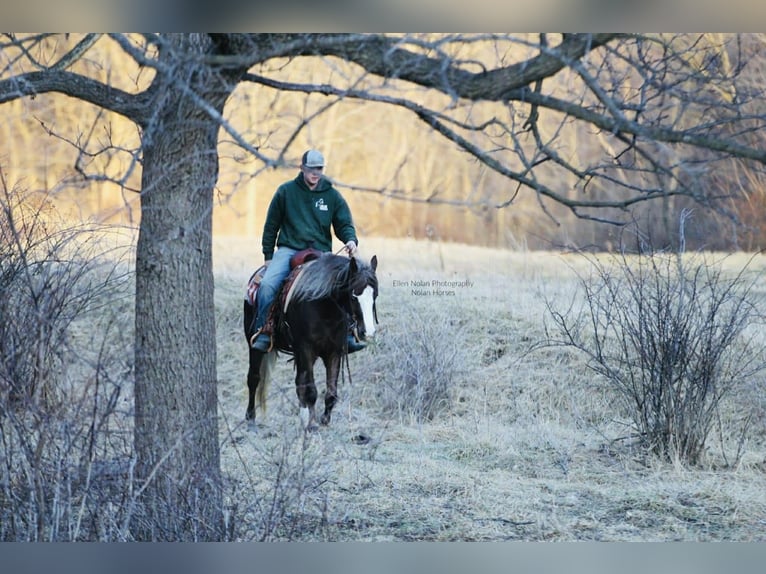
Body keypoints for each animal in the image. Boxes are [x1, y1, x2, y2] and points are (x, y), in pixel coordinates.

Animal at [243, 252, 379, 430]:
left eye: (375, 295)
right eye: (353, 296)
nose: (368, 332)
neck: (323, 307)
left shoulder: (334, 351)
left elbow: (331, 391)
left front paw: (324, 420)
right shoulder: (306, 349)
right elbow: (311, 390)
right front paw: (312, 423)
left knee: (299, 383)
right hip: (254, 345)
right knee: (254, 378)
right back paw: (250, 419)